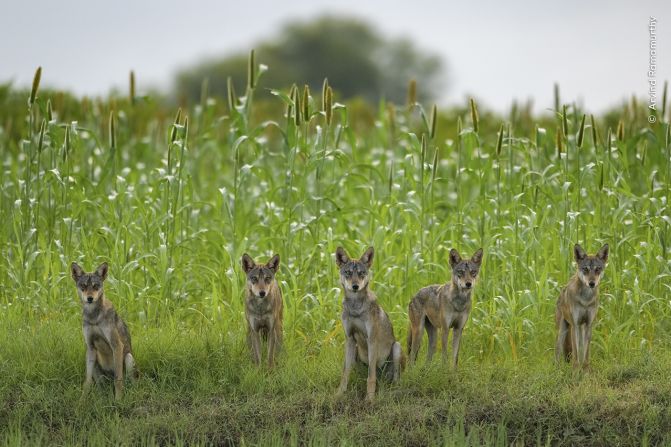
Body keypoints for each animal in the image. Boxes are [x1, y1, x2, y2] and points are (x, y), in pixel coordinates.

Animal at [71, 260, 136, 400]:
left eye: (96, 286)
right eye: (83, 286)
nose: (90, 298)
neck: (94, 317)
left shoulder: (117, 345)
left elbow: (118, 379)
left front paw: (118, 400)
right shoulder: (90, 347)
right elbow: (87, 381)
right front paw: (82, 401)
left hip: (128, 358)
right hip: (94, 360)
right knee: (100, 386)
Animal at [334, 247, 402, 404]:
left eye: (361, 273)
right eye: (348, 273)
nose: (355, 286)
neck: (355, 307)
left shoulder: (371, 340)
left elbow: (371, 376)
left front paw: (369, 399)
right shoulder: (349, 339)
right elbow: (345, 373)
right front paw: (339, 394)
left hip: (396, 347)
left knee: (392, 378)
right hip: (355, 350)